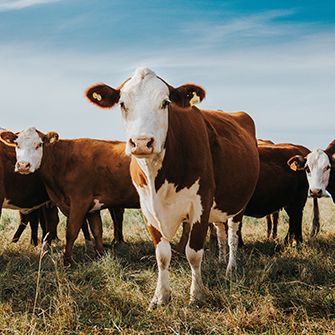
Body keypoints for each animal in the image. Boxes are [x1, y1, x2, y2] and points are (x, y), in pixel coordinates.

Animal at [0, 130, 139, 266]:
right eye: (17, 144)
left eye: (39, 144)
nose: (23, 165)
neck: (64, 160)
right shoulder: (92, 206)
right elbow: (97, 230)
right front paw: (100, 256)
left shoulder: (80, 201)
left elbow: (71, 232)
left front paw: (67, 260)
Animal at [86, 68, 260, 310]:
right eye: (122, 103)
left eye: (165, 102)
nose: (142, 142)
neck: (158, 178)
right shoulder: (147, 208)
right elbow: (162, 255)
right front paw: (160, 297)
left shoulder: (201, 204)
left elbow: (193, 253)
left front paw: (197, 295)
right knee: (220, 231)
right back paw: (221, 260)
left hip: (238, 203)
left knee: (233, 235)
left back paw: (230, 268)